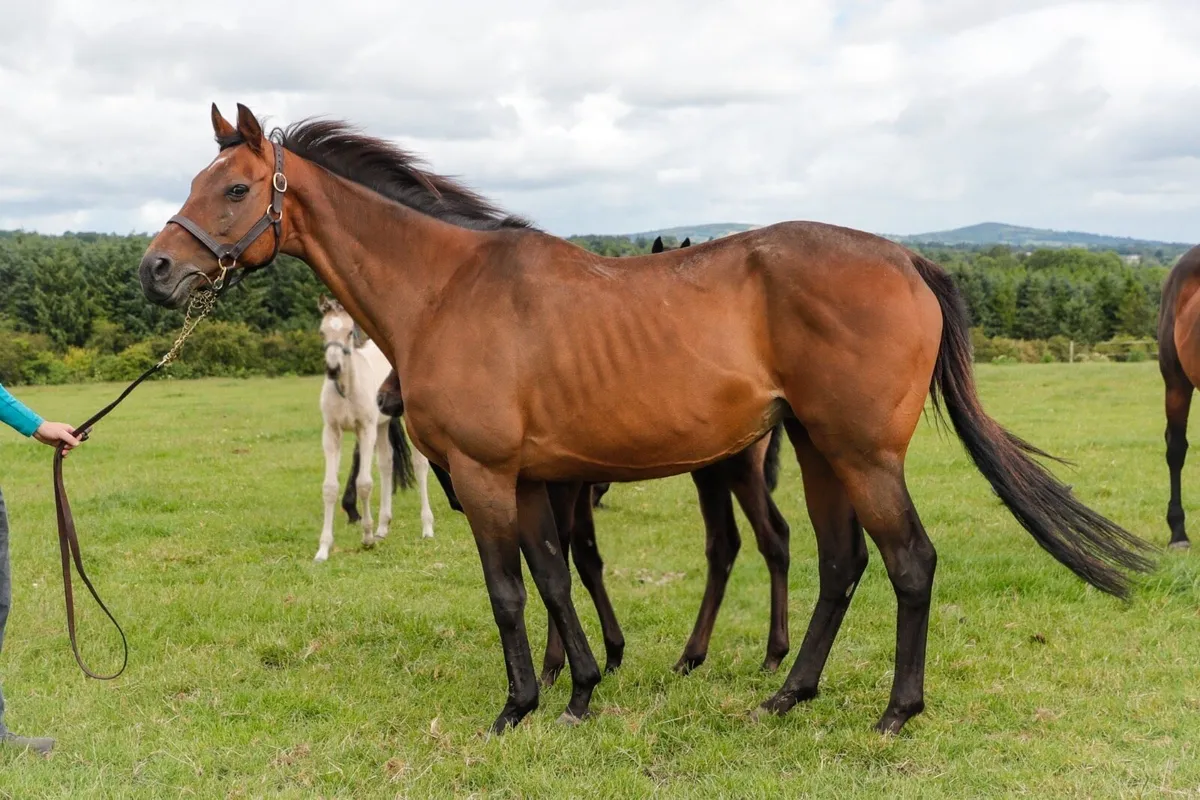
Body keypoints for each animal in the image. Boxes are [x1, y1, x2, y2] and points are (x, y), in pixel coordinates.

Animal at [315, 296, 417, 560]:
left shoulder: (366, 429)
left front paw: (367, 537)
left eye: (350, 331)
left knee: (420, 465)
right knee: (387, 463)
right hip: (383, 426)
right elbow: (329, 487)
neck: (347, 389)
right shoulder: (332, 432)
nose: (333, 369)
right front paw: (323, 548)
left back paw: (426, 528)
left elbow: (364, 483)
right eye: (322, 332)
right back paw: (383, 525)